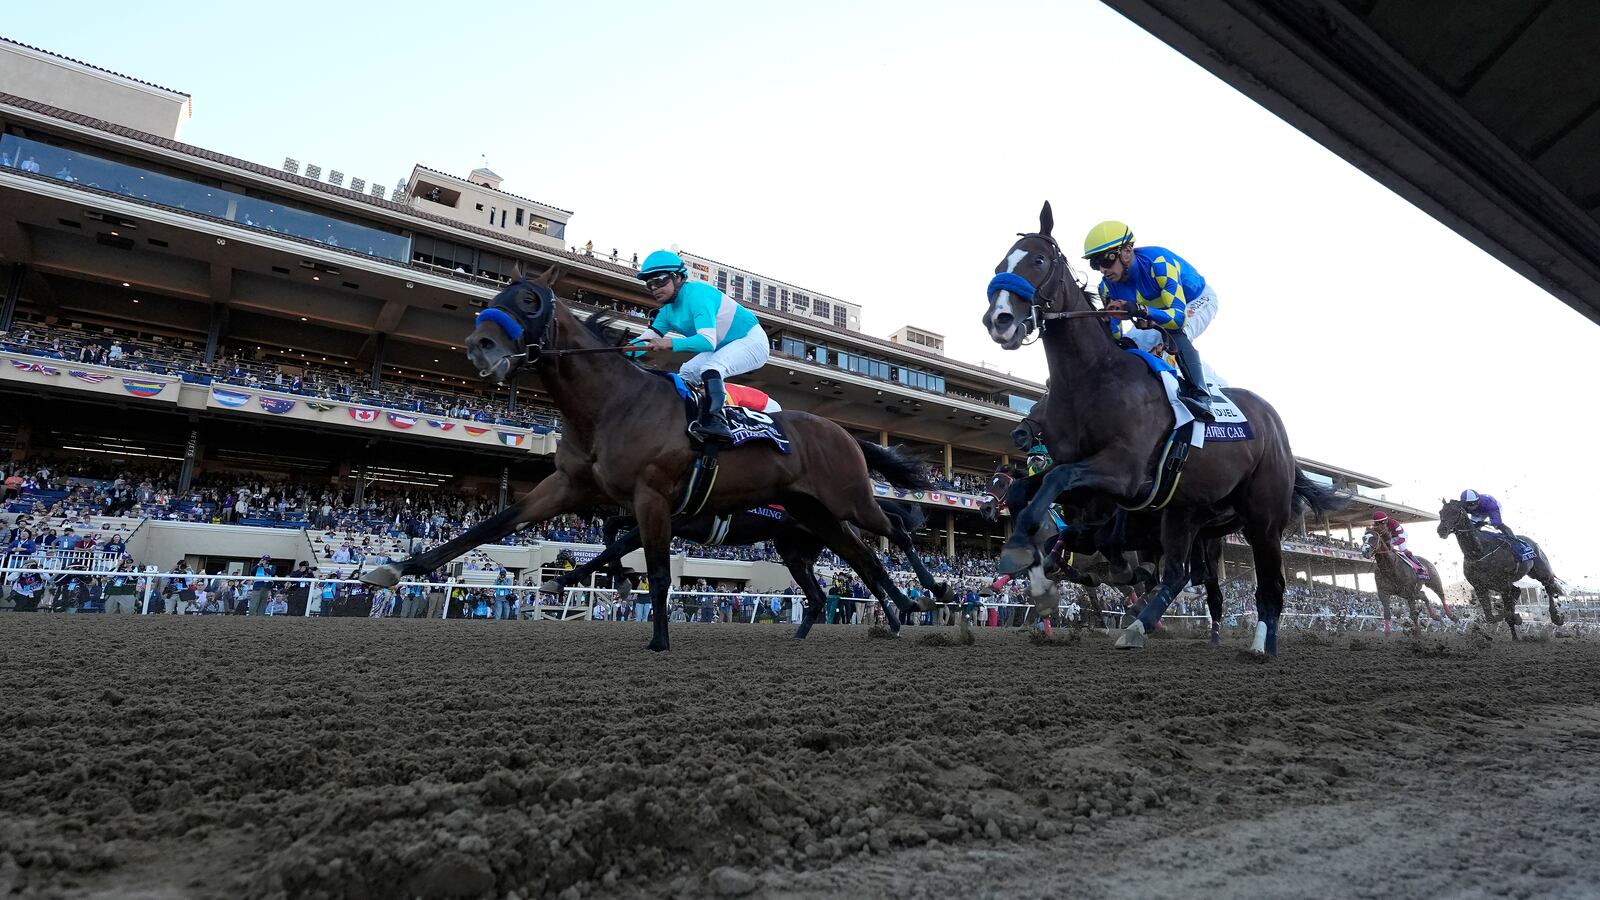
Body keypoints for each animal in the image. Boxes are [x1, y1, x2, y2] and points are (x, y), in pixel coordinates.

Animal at [540, 496, 934, 637]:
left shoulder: (672, 520)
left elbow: (617, 543)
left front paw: (562, 580)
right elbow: (611, 529)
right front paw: (620, 579)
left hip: (833, 533)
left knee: (869, 561)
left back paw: (907, 605)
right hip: (795, 550)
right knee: (825, 593)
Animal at [979, 201, 1344, 650]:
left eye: (1038, 260)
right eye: (1000, 264)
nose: (999, 319)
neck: (1095, 377)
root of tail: (1274, 425)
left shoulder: (1124, 472)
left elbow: (1057, 482)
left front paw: (1024, 552)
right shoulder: (1093, 491)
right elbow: (1031, 491)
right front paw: (1032, 569)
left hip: (1263, 518)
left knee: (1270, 583)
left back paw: (1260, 644)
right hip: (1184, 512)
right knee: (1179, 573)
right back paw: (1142, 625)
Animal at [1440, 496, 1561, 637]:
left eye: (1455, 512)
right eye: (1440, 512)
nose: (1441, 530)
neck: (1479, 552)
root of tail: (1533, 543)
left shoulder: (1503, 585)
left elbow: (1508, 613)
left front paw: (1516, 618)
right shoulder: (1480, 587)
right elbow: (1491, 617)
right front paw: (1515, 618)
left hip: (1541, 572)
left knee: (1548, 586)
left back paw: (1556, 617)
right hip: (1500, 584)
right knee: (1517, 591)